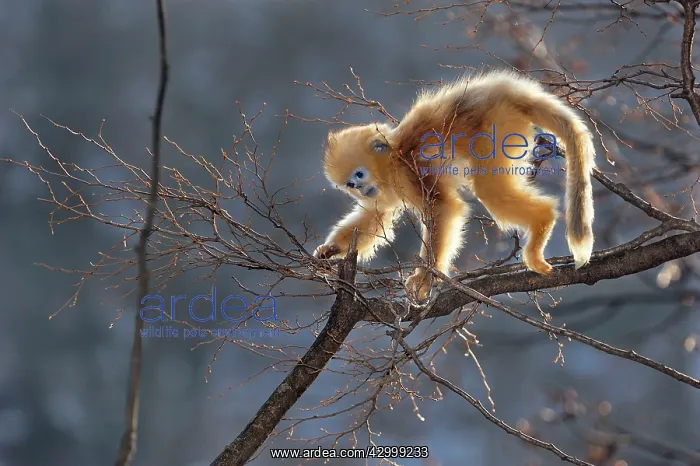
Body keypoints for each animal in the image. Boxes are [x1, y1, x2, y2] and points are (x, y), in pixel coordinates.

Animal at [313, 69, 595, 301]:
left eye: (360, 174)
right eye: (350, 183)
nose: (360, 190)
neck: (394, 159)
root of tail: (512, 92)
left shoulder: (413, 171)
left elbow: (442, 207)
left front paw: (425, 278)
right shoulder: (385, 193)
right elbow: (376, 217)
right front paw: (331, 249)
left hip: (497, 129)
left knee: (489, 188)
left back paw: (541, 223)